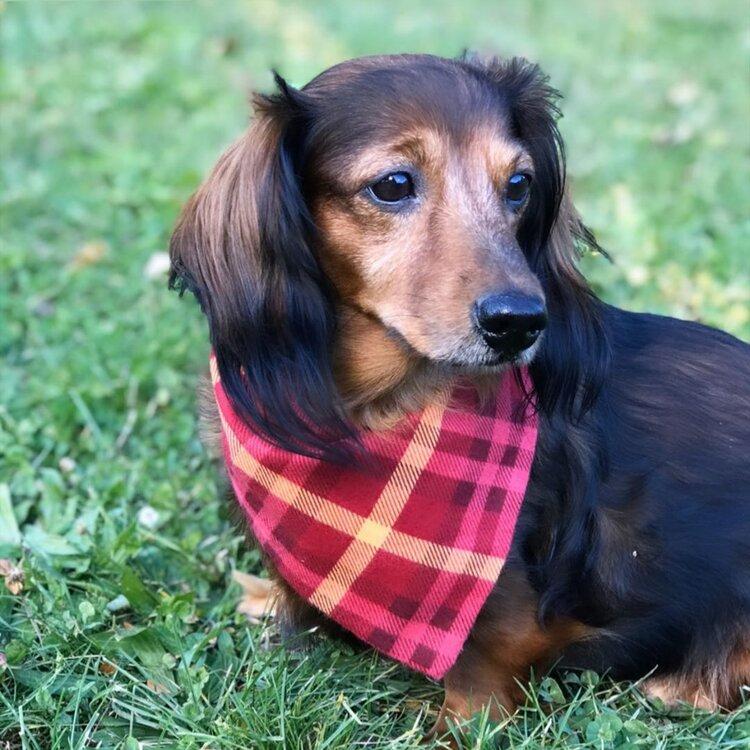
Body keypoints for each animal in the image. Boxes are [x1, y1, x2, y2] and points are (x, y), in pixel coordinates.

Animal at [170, 55, 750, 732]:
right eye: (393, 184)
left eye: (519, 184)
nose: (520, 322)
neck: (378, 414)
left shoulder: (511, 622)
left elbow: (480, 674)